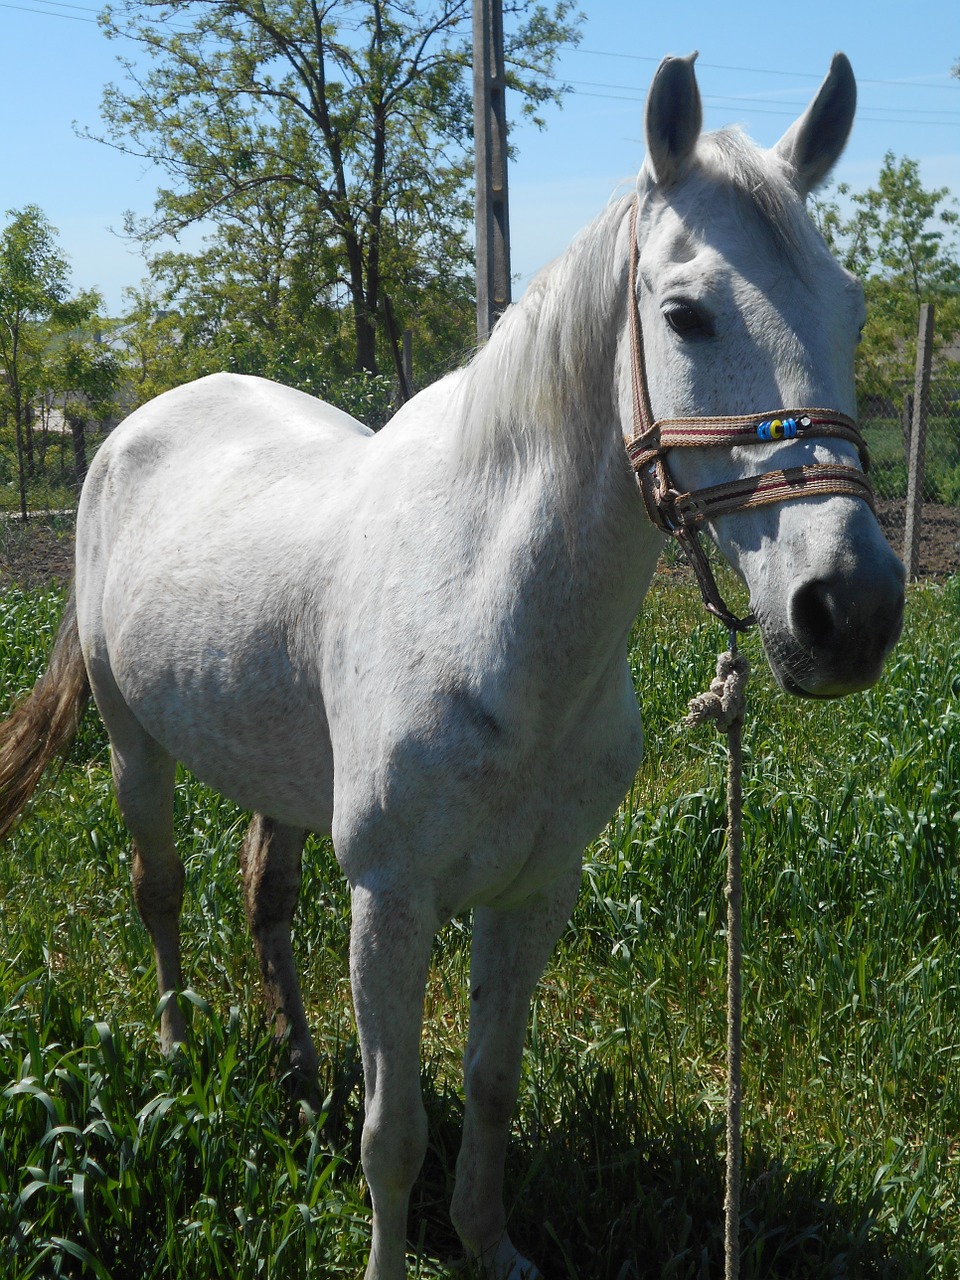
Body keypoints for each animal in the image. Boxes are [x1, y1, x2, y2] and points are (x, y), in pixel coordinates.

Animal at [0, 52, 906, 1280]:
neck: (494, 622)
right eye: (686, 314)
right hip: (132, 746)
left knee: (263, 891)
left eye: (852, 310)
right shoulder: (393, 900)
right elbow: (396, 1131)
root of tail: (129, 433)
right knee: (162, 891)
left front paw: (491, 1242)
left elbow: (491, 1083)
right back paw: (181, 1055)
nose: (849, 611)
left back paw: (298, 1068)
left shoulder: (534, 892)